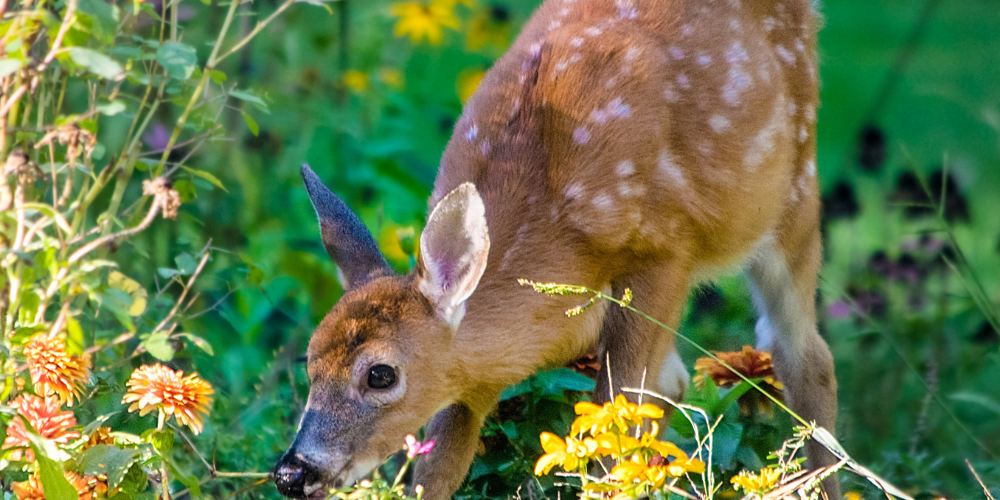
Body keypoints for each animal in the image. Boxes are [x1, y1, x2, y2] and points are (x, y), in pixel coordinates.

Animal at [272, 0, 836, 498]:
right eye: (309, 360)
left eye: (381, 374)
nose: (293, 472)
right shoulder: (471, 375)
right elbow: (439, 468)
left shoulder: (664, 252)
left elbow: (616, 419)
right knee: (682, 382)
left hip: (794, 190)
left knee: (805, 355)